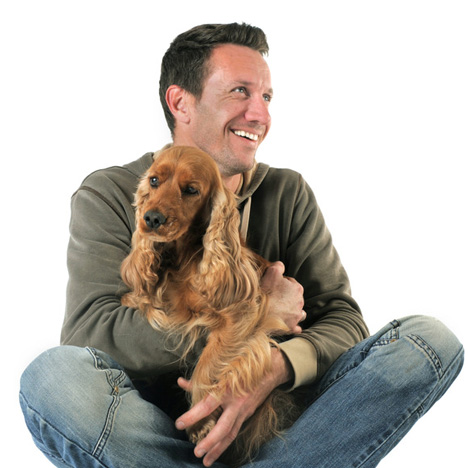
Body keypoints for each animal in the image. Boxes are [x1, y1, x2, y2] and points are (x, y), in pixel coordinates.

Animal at [120, 146, 297, 466]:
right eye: (154, 180)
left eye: (191, 190)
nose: (151, 218)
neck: (183, 256)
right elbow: (144, 302)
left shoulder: (242, 314)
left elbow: (209, 364)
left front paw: (200, 424)